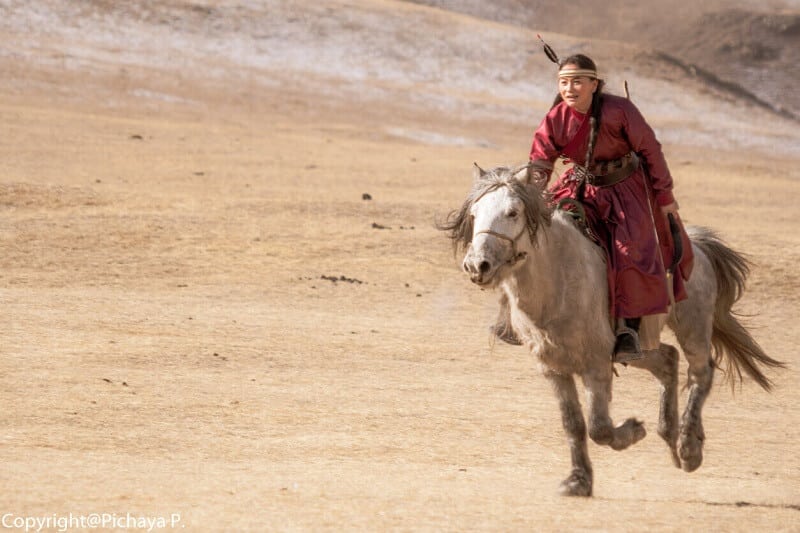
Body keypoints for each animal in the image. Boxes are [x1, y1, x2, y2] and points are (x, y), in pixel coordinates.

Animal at [440, 162, 784, 494]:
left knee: (701, 373)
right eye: (474, 214)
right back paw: (669, 434)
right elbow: (574, 424)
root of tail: (696, 247)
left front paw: (634, 430)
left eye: (512, 212)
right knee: (668, 359)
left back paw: (688, 448)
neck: (558, 281)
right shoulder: (554, 369)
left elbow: (599, 428)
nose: (478, 265)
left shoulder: (596, 365)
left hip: (693, 326)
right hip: (637, 346)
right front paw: (578, 480)